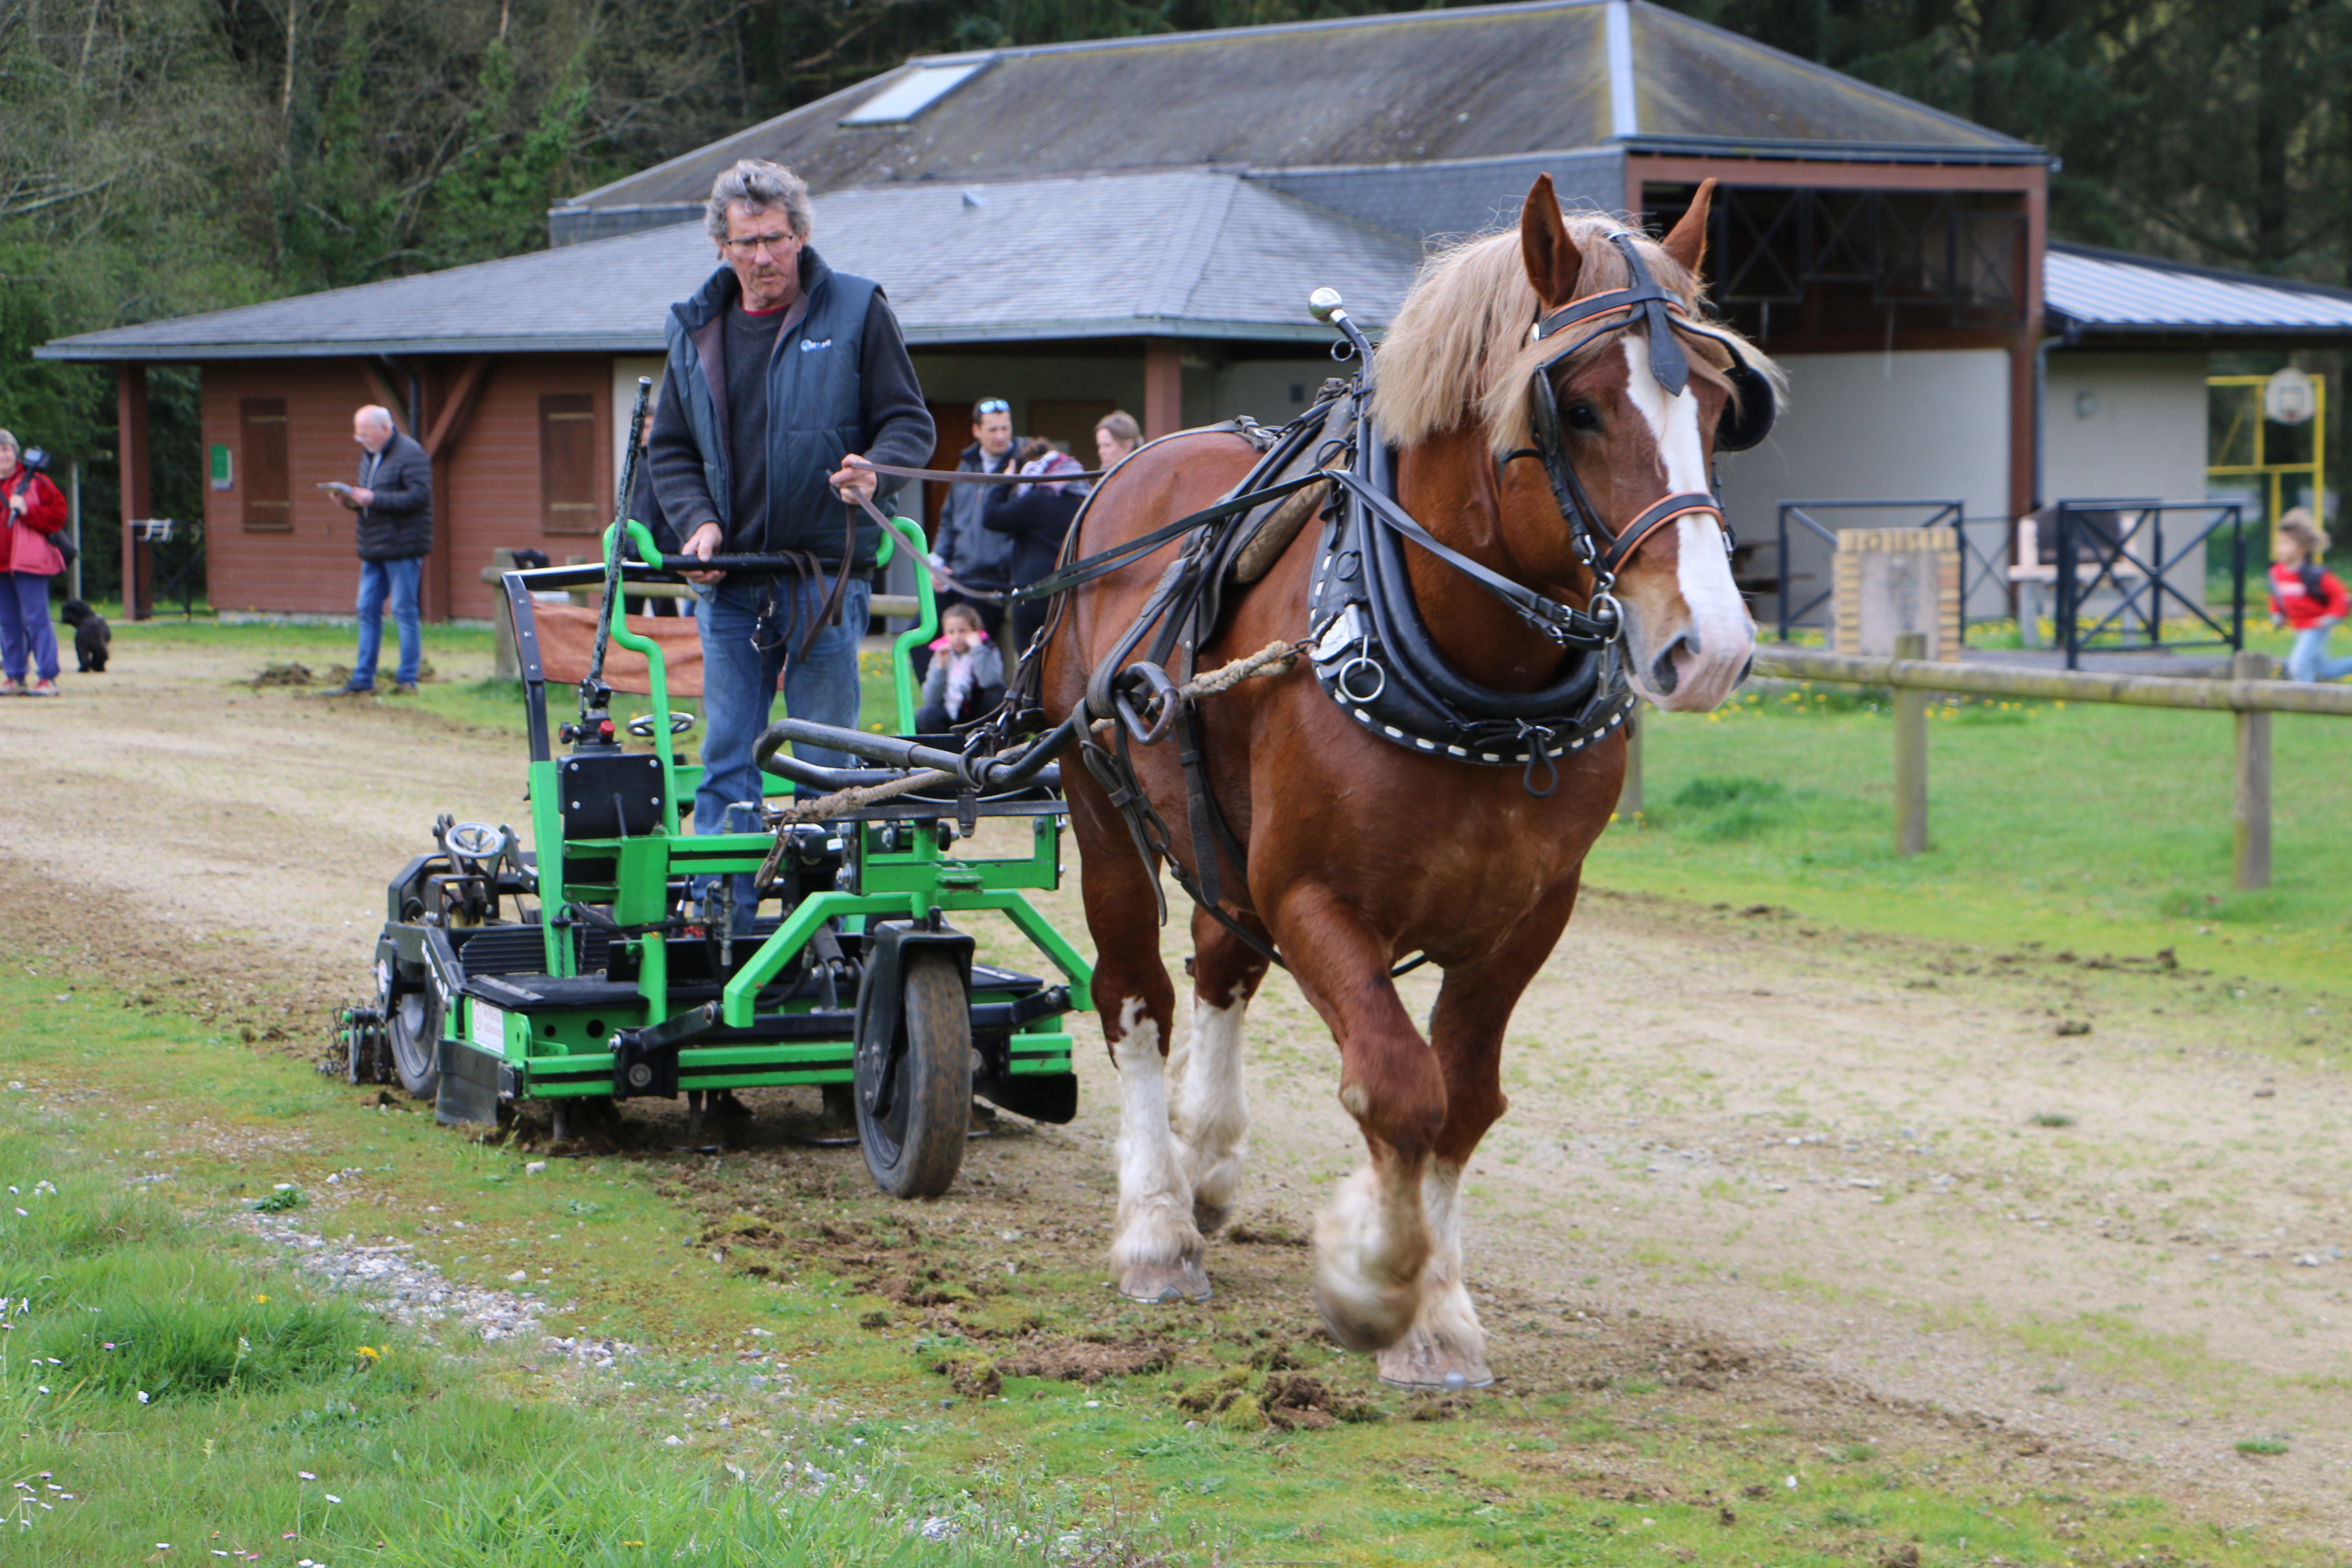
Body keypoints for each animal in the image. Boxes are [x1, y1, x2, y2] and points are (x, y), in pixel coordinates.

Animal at [1039, 177, 1769, 1391]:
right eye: (1577, 409)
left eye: (1717, 403)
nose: (1707, 646)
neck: (1481, 684)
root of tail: (1135, 466)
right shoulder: (1314, 897)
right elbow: (1396, 1084)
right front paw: (1373, 1275)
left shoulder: (1529, 914)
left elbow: (1463, 1098)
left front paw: (1439, 1313)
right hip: (1100, 805)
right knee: (1135, 995)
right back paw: (1156, 1226)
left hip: (1216, 829)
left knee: (1221, 966)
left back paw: (1206, 1162)